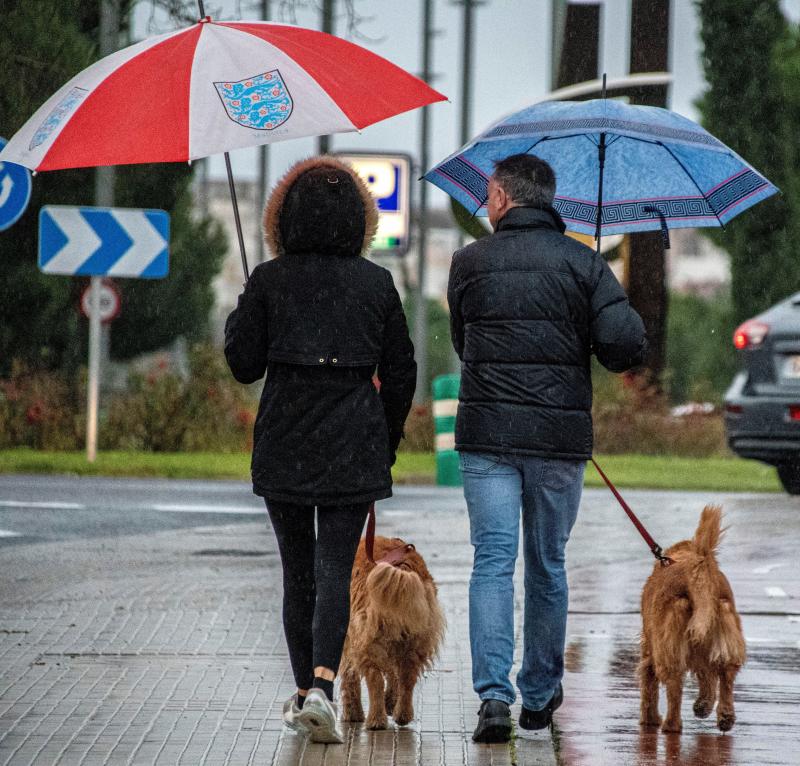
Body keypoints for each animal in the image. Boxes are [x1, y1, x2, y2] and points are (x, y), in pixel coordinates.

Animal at [340, 536, 446, 728]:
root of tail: (401, 569)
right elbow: (393, 675)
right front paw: (390, 702)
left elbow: (349, 677)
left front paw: (352, 713)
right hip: (416, 641)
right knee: (407, 677)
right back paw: (402, 714)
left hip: (366, 642)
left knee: (375, 680)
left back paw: (376, 720)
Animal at [636, 508, 744, 736]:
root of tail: (699, 571)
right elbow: (707, 676)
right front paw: (704, 705)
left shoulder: (650, 649)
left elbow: (648, 686)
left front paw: (649, 720)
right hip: (726, 631)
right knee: (726, 675)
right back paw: (724, 717)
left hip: (667, 650)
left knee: (674, 688)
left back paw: (670, 725)